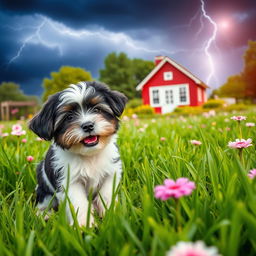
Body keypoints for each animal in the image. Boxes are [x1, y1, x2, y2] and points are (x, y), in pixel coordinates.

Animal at [29, 81, 127, 226]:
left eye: (97, 110)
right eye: (69, 117)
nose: (88, 125)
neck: (89, 155)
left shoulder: (111, 171)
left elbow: (107, 193)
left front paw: (111, 216)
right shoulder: (69, 180)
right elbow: (78, 202)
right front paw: (84, 225)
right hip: (44, 190)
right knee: (43, 203)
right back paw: (45, 215)